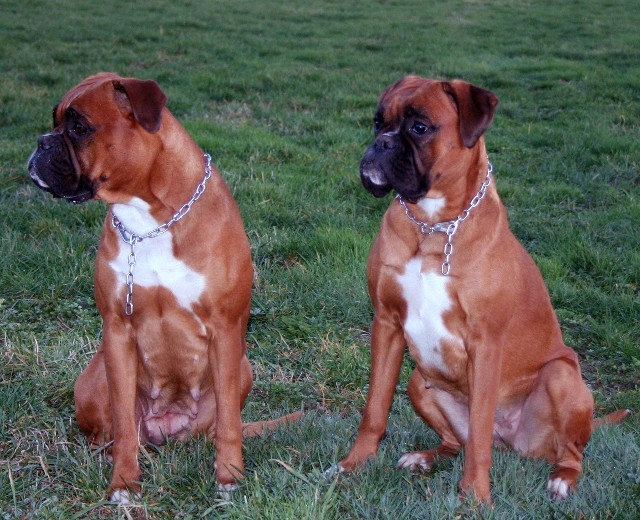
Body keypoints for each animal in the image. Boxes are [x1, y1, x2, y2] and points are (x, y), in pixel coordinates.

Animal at [28, 73, 302, 504]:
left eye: (78, 127)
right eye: (55, 122)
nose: (41, 142)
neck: (150, 219)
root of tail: (167, 430)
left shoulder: (226, 331)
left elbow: (229, 423)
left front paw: (229, 478)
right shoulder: (117, 332)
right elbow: (125, 423)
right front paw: (124, 483)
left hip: (243, 368)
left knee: (218, 426)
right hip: (92, 378)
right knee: (113, 432)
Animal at [338, 77, 628, 504]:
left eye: (420, 127)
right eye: (378, 122)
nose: (381, 144)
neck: (434, 225)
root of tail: (511, 443)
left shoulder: (485, 344)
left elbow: (477, 433)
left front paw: (474, 495)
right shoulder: (387, 325)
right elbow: (375, 408)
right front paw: (355, 463)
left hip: (561, 376)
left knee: (570, 452)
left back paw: (562, 479)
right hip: (418, 379)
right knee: (453, 442)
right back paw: (424, 458)